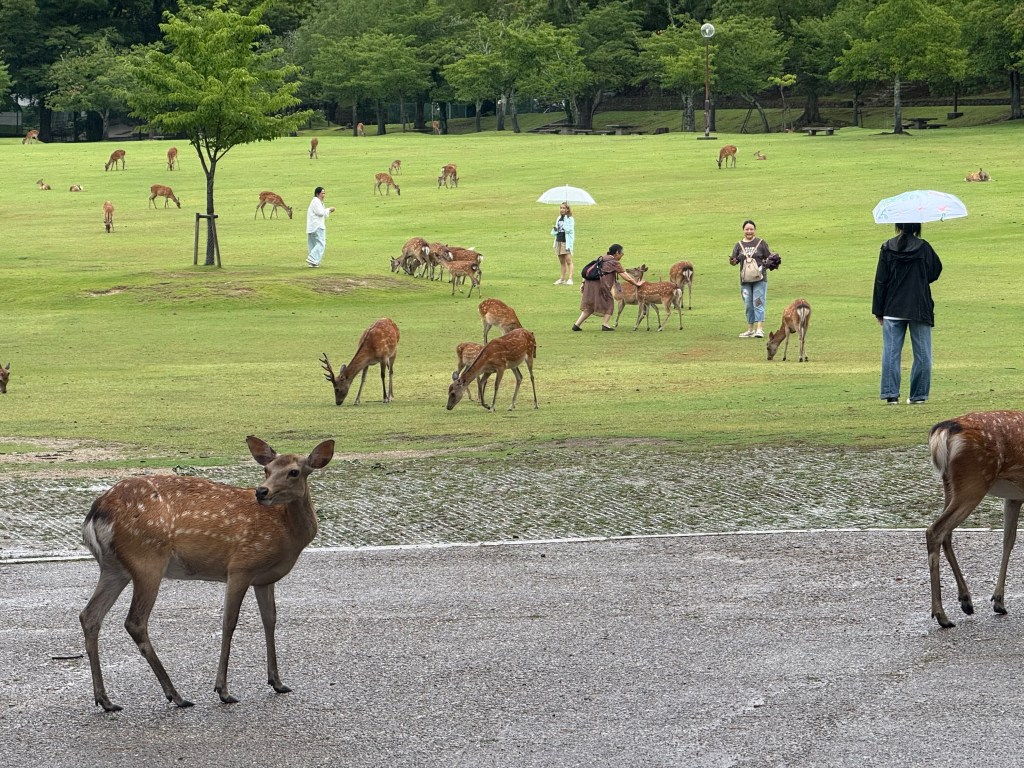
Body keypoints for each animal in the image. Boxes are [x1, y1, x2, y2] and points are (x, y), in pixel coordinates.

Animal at [79, 435, 335, 712]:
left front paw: (277, 681)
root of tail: (96, 513)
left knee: (89, 616)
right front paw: (223, 690)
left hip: (114, 568)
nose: (261, 491)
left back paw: (105, 699)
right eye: (267, 470)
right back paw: (176, 695)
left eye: (294, 472)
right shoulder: (241, 566)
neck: (287, 534)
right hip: (147, 559)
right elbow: (229, 622)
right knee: (134, 622)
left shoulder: (264, 579)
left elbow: (270, 620)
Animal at [925, 410, 1024, 628]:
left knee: (946, 534)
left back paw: (966, 600)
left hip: (951, 485)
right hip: (974, 481)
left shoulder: (1014, 497)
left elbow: (1008, 540)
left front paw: (998, 601)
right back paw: (942, 615)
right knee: (935, 530)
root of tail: (945, 429)